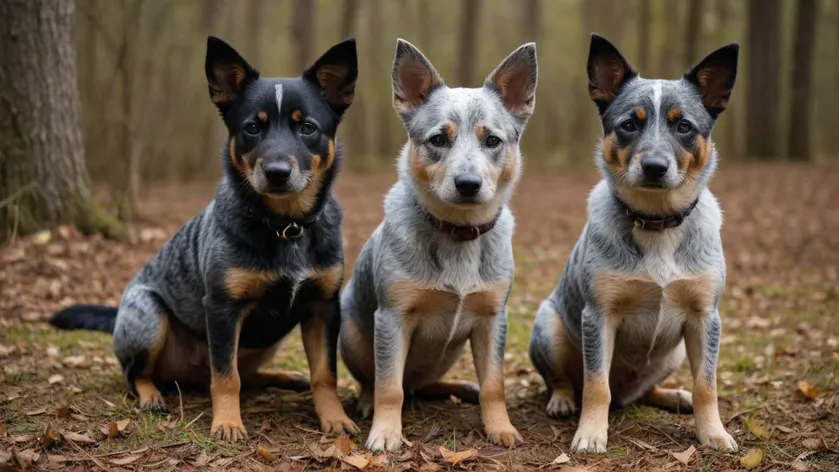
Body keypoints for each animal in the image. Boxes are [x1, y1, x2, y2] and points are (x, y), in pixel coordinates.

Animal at [340, 38, 540, 452]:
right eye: (438, 139)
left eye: (492, 140)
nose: (468, 183)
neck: (457, 234)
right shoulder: (393, 317)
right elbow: (389, 387)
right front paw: (386, 433)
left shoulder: (492, 318)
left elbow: (493, 385)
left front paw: (501, 427)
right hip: (350, 332)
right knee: (378, 381)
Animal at [528, 34, 740, 454]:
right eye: (629, 124)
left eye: (684, 126)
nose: (655, 166)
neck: (657, 223)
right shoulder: (599, 316)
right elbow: (596, 386)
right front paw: (591, 434)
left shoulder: (705, 318)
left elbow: (706, 385)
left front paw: (713, 432)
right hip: (549, 326)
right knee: (568, 380)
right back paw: (562, 400)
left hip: (673, 353)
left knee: (648, 390)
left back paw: (674, 396)